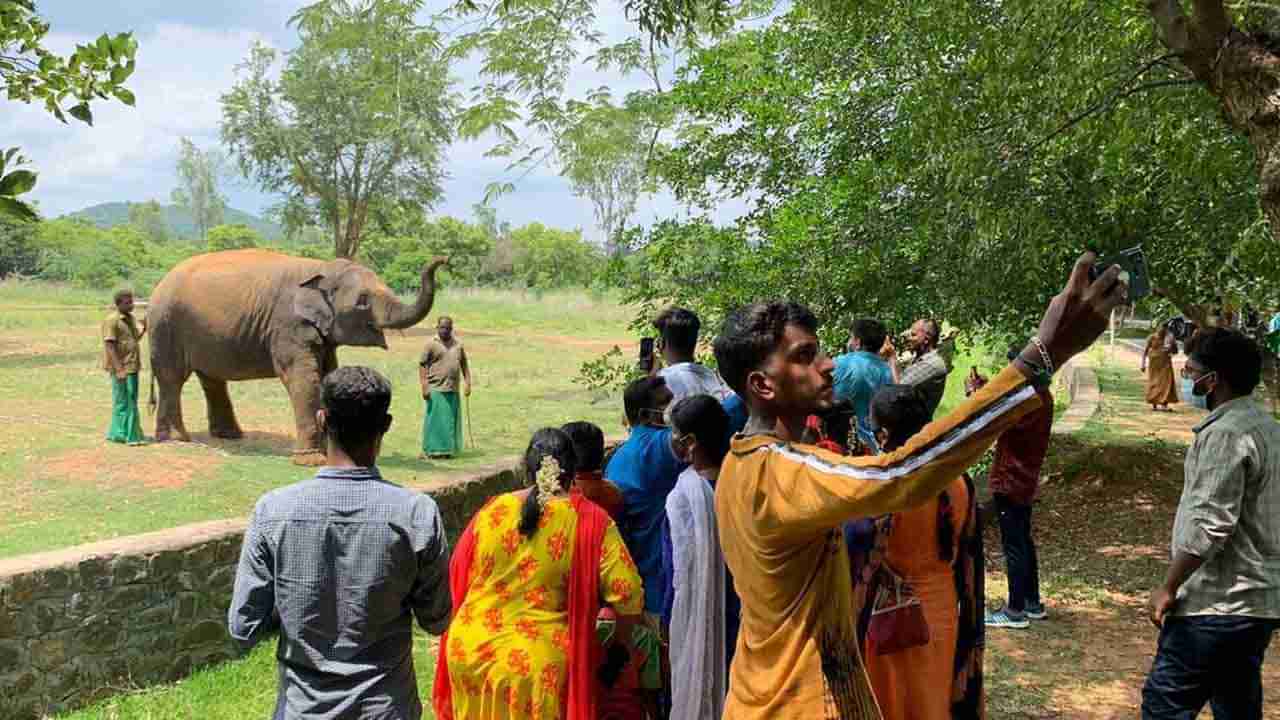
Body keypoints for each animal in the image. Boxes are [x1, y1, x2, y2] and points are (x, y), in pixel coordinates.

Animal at [143, 245, 445, 461]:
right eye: (362, 301)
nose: (442, 258)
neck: (321, 268)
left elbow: (327, 374)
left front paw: (328, 449)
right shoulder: (288, 325)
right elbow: (303, 377)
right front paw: (311, 461)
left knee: (211, 379)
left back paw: (228, 436)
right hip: (166, 325)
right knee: (172, 378)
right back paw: (176, 439)